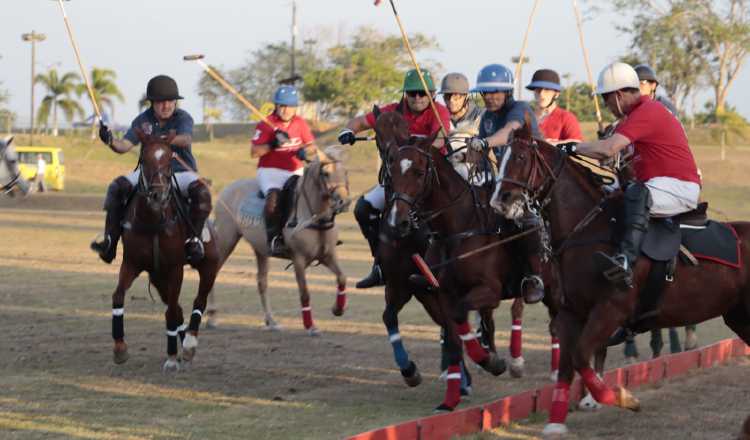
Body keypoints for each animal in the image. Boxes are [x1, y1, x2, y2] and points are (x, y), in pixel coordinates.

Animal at [111, 131, 220, 372]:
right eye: (144, 159)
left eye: (170, 159)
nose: (158, 195)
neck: (153, 220)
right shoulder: (132, 263)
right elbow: (118, 296)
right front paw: (120, 348)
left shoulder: (175, 268)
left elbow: (171, 311)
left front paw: (171, 358)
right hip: (158, 277)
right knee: (178, 308)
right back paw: (183, 343)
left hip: (209, 266)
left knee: (199, 301)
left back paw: (189, 344)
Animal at [207, 146, 352, 336]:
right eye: (326, 173)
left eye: (346, 172)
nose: (344, 202)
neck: (315, 217)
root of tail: (227, 189)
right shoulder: (299, 259)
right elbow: (304, 292)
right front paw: (310, 326)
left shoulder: (328, 255)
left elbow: (342, 278)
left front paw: (338, 309)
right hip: (226, 239)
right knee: (214, 272)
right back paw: (211, 318)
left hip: (260, 249)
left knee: (262, 283)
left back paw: (272, 321)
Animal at [490, 124, 750, 436]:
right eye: (500, 156)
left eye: (520, 157)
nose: (498, 201)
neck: (587, 228)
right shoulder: (570, 312)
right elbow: (567, 364)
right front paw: (555, 424)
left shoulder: (611, 309)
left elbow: (581, 356)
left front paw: (622, 397)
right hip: (738, 316)